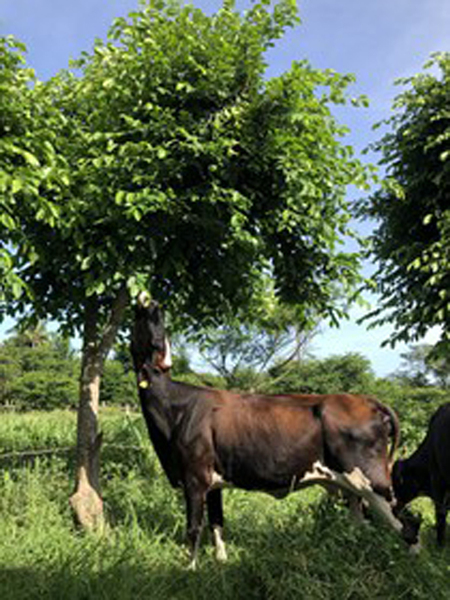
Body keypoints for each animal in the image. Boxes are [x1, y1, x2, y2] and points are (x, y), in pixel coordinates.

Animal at [130, 296, 404, 568]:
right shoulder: (213, 483)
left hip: (375, 484)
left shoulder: (194, 479)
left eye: (155, 316)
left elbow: (193, 528)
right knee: (362, 525)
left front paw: (190, 569)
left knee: (405, 525)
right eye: (144, 315)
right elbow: (216, 522)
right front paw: (221, 561)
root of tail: (367, 401)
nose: (147, 298)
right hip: (352, 490)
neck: (176, 406)